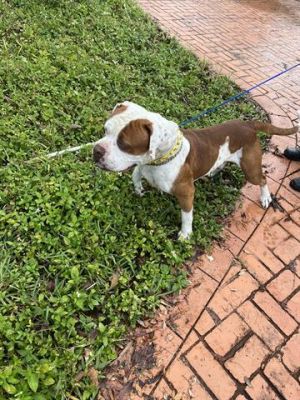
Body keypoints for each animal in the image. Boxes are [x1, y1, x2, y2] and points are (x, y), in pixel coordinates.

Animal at [92, 101, 298, 239]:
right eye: (105, 129)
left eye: (125, 145)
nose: (96, 150)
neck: (160, 158)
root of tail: (247, 124)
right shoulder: (143, 166)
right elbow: (135, 175)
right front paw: (138, 190)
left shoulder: (186, 193)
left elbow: (187, 216)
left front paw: (185, 234)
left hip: (250, 167)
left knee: (262, 179)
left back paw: (265, 197)